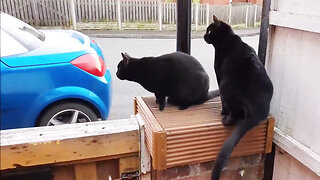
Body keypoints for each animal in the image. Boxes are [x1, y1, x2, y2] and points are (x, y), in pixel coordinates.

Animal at [205, 15, 272, 180]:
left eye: (209, 30)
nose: (203, 36)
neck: (228, 38)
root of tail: (258, 112)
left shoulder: (219, 74)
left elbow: (223, 103)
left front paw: (222, 111)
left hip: (225, 86)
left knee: (233, 113)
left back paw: (226, 118)